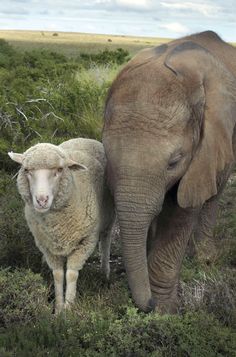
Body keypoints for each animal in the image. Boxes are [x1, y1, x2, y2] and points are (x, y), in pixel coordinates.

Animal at [9, 137, 115, 312]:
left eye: (59, 169)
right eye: (27, 170)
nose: (42, 200)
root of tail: (84, 138)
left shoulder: (85, 242)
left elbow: (71, 274)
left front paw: (69, 308)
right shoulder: (47, 246)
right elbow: (58, 275)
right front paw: (58, 308)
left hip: (108, 218)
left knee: (105, 243)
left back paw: (104, 273)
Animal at [102, 32, 236, 312]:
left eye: (174, 162)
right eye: (107, 156)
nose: (147, 304)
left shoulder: (204, 148)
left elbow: (180, 212)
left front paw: (165, 311)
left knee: (214, 193)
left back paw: (205, 259)